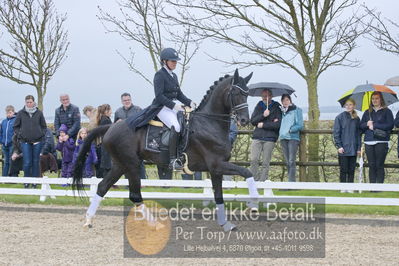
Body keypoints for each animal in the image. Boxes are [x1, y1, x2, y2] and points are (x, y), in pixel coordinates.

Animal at [73, 69, 260, 232]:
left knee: (102, 187)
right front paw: (253, 203)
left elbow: (219, 195)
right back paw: (154, 224)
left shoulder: (216, 169)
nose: (245, 120)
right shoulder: (217, 165)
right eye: (235, 92)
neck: (210, 123)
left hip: (120, 164)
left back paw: (88, 220)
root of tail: (111, 126)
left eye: (247, 93)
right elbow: (247, 172)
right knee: (134, 194)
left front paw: (226, 224)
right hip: (131, 164)